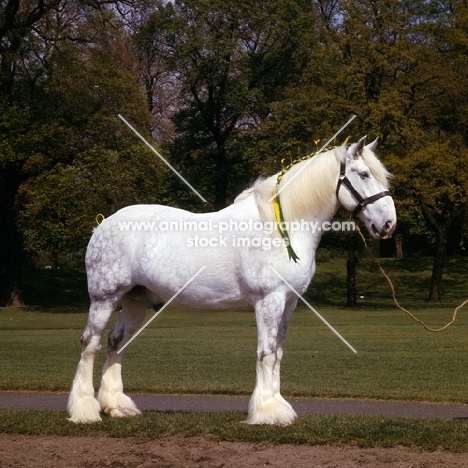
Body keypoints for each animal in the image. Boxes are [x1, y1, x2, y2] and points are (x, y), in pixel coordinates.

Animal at [66, 135, 394, 424]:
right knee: (90, 343)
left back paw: (116, 406)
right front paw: (267, 412)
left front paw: (277, 406)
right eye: (363, 174)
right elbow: (266, 353)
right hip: (105, 297)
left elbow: (277, 354)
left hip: (135, 300)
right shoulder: (269, 300)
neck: (280, 227)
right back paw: (84, 410)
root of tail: (102, 224)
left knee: (116, 342)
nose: (389, 224)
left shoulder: (288, 303)